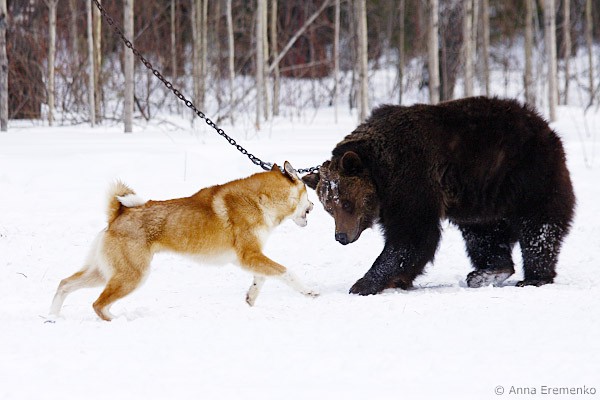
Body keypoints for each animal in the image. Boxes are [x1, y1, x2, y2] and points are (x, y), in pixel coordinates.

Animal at [50, 162, 317, 321]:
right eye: (308, 194)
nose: (314, 206)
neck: (260, 199)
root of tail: (118, 214)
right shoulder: (249, 255)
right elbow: (286, 272)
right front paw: (310, 291)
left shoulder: (249, 257)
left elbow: (260, 279)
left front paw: (251, 298)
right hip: (131, 276)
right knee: (97, 304)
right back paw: (118, 322)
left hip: (104, 273)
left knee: (64, 284)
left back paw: (52, 317)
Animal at [302, 96, 576, 295]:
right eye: (329, 208)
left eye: (347, 203)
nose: (341, 237)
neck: (381, 174)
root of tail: (545, 126)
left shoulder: (412, 177)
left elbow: (413, 235)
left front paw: (364, 283)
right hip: (481, 195)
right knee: (484, 233)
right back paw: (487, 272)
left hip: (527, 173)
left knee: (538, 226)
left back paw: (534, 277)